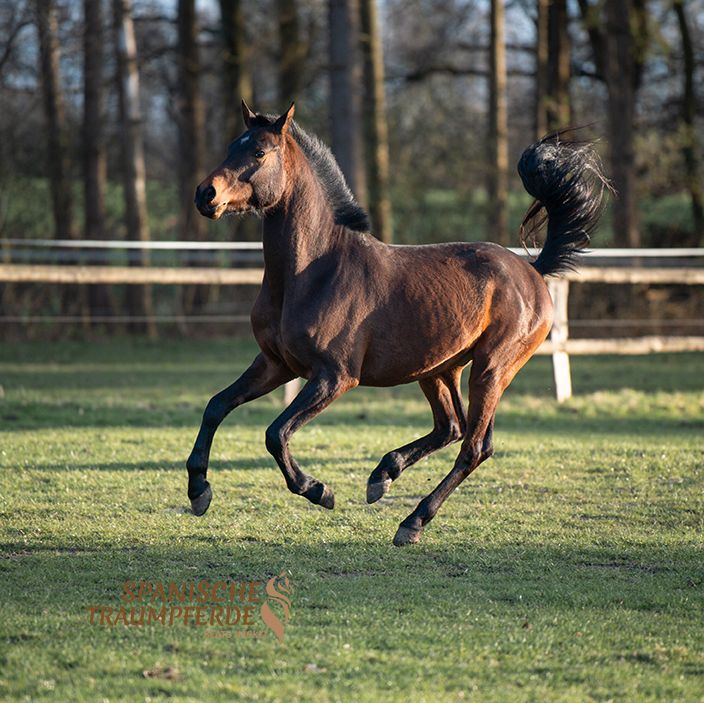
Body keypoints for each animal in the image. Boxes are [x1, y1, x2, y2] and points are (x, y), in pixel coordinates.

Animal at [188, 102, 612, 548]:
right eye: (232, 146)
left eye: (259, 152)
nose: (205, 194)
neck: (312, 272)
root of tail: (532, 270)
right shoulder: (275, 364)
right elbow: (216, 406)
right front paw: (199, 492)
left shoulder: (335, 377)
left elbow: (276, 433)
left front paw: (319, 490)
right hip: (438, 369)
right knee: (452, 427)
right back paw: (383, 476)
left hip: (492, 370)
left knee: (474, 446)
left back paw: (412, 521)